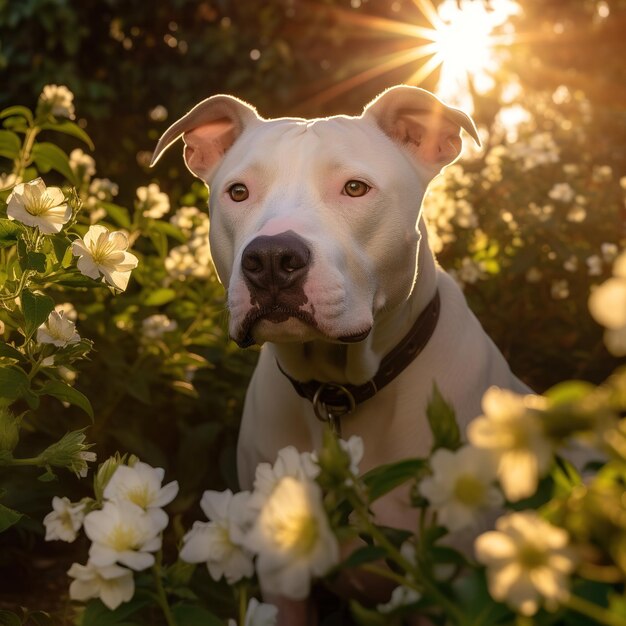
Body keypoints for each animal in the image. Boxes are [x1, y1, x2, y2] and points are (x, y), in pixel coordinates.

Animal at [151, 85, 528, 620]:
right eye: (238, 192)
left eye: (354, 188)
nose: (271, 259)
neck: (337, 389)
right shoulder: (280, 575)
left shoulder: (445, 582)